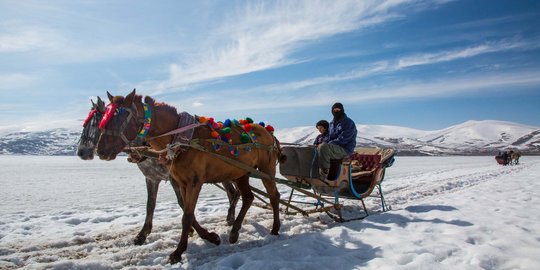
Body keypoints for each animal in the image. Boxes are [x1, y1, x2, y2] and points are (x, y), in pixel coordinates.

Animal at [96, 89, 282, 264]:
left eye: (122, 116)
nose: (101, 151)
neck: (182, 141)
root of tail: (269, 133)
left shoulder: (194, 182)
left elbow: (186, 216)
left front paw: (178, 252)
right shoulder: (180, 182)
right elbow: (182, 210)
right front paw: (210, 237)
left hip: (266, 170)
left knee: (273, 196)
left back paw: (275, 229)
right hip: (240, 173)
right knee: (248, 197)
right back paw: (234, 231)